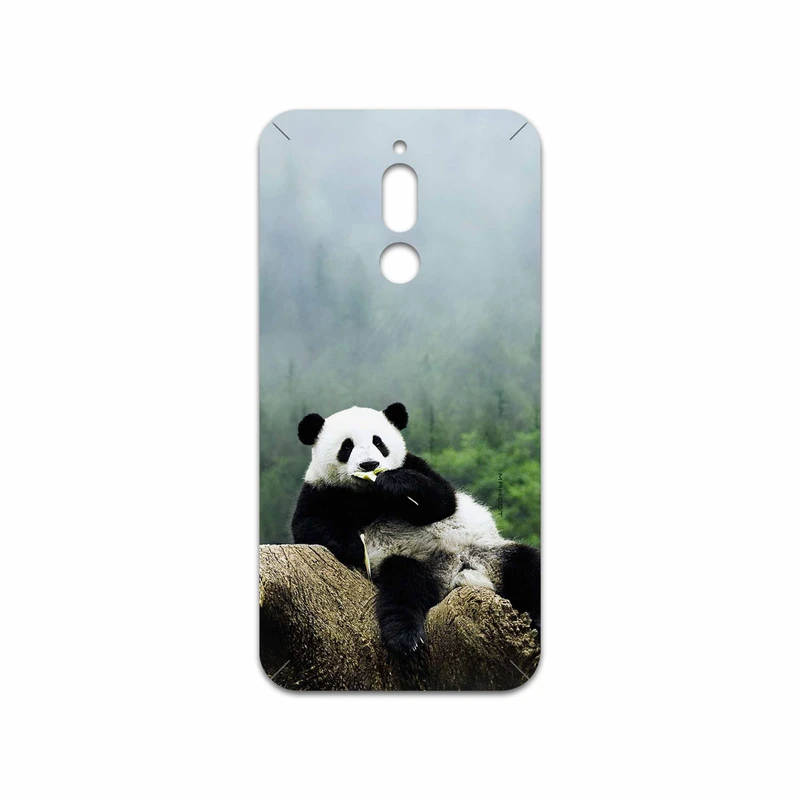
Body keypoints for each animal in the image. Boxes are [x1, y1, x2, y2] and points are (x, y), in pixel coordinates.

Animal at [292, 402, 541, 656]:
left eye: (378, 442)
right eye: (347, 446)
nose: (369, 465)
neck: (368, 494)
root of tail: (456, 572)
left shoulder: (414, 464)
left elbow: (442, 500)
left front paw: (394, 483)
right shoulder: (321, 489)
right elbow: (308, 525)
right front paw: (354, 546)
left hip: (487, 551)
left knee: (527, 565)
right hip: (411, 561)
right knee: (404, 588)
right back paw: (405, 637)